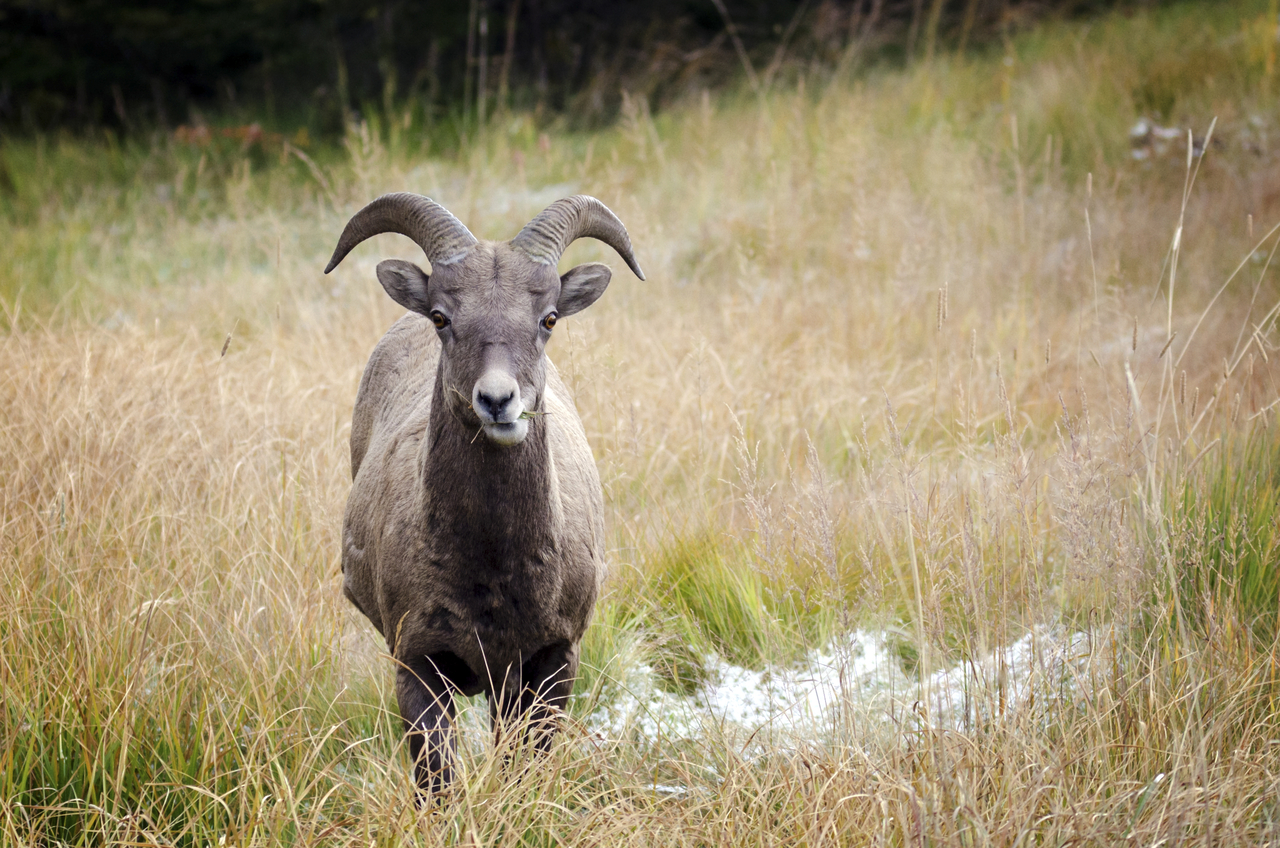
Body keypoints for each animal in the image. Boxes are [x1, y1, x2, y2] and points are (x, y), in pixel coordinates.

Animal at [320, 192, 640, 799]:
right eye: (442, 317)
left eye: (549, 318)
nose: (497, 401)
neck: (493, 570)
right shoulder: (419, 666)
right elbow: (437, 782)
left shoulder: (549, 664)